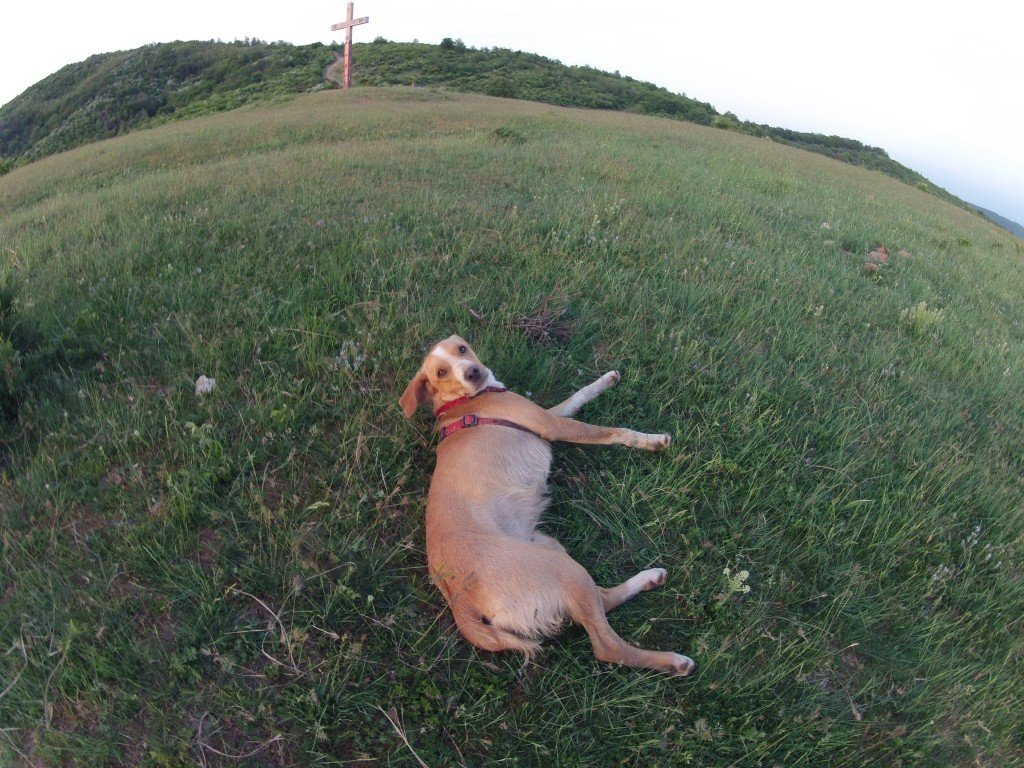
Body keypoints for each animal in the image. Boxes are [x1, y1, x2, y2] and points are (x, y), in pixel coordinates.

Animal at [399, 333, 696, 675]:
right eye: (441, 373)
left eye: (461, 349)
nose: (473, 372)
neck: (461, 403)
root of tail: (459, 600)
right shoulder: (553, 425)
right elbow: (612, 432)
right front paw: (650, 440)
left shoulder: (548, 415)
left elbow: (578, 396)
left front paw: (606, 380)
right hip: (564, 570)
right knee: (607, 646)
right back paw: (674, 662)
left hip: (552, 549)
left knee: (602, 599)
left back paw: (649, 578)